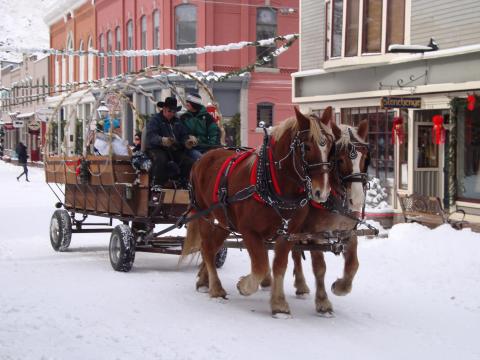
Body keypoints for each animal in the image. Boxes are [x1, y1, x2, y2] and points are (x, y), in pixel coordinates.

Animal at [182, 107, 336, 316]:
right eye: (307, 147)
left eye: (330, 146)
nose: (323, 191)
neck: (273, 183)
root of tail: (202, 158)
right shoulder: (249, 231)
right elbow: (261, 266)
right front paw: (245, 286)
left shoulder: (288, 233)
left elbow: (279, 266)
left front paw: (279, 304)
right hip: (204, 214)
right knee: (206, 248)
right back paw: (216, 288)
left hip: (225, 222)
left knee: (213, 248)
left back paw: (204, 280)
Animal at [286, 120, 370, 316]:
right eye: (340, 159)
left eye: (364, 158)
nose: (357, 200)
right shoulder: (314, 234)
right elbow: (320, 267)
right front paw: (323, 302)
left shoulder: (348, 233)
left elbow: (353, 265)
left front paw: (340, 287)